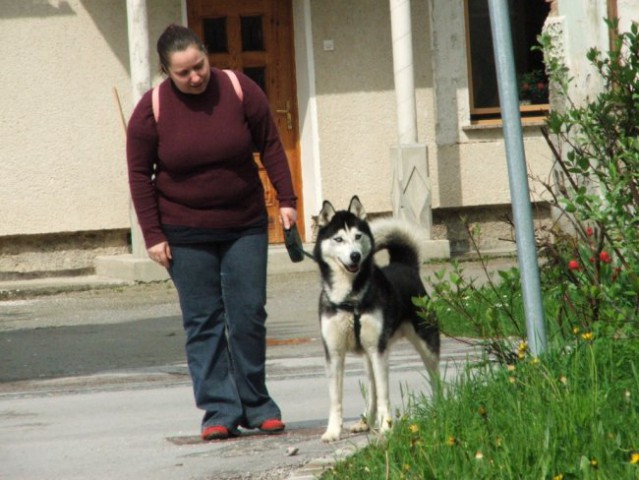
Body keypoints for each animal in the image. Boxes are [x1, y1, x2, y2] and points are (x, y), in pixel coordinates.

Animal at [314, 196, 440, 442]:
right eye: (338, 239)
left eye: (357, 236)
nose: (355, 255)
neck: (350, 298)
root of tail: (405, 265)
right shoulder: (334, 353)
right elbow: (336, 399)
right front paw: (332, 431)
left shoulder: (378, 350)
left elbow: (383, 394)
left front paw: (387, 428)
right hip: (367, 356)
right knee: (371, 389)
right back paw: (365, 421)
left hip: (425, 345)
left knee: (435, 378)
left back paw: (442, 406)